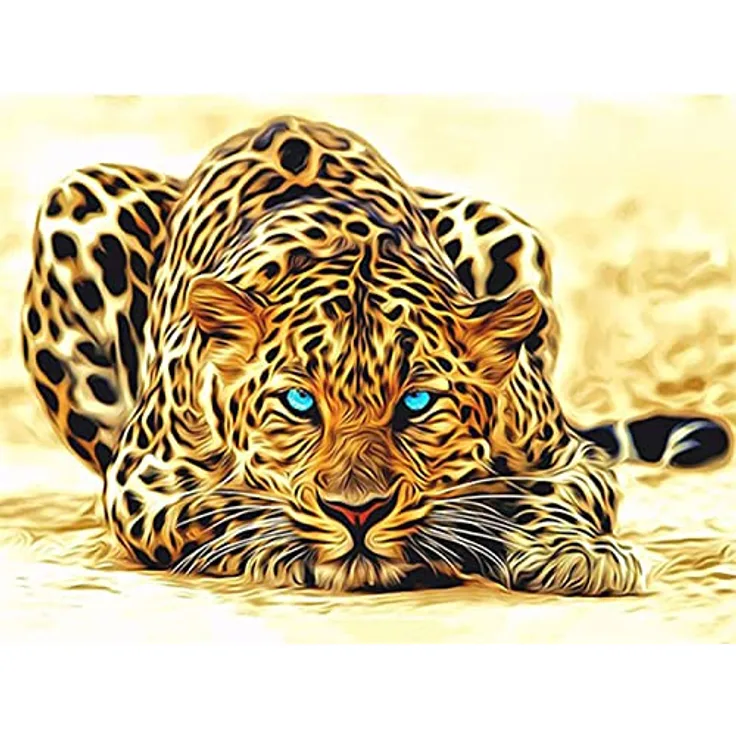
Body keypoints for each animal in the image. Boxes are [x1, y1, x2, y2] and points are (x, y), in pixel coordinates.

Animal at [20, 114, 732, 595]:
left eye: (417, 403)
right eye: (299, 402)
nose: (357, 512)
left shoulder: (565, 455)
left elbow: (545, 494)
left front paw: (572, 552)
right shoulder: (142, 479)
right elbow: (218, 510)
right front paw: (289, 546)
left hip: (502, 225)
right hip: (77, 200)